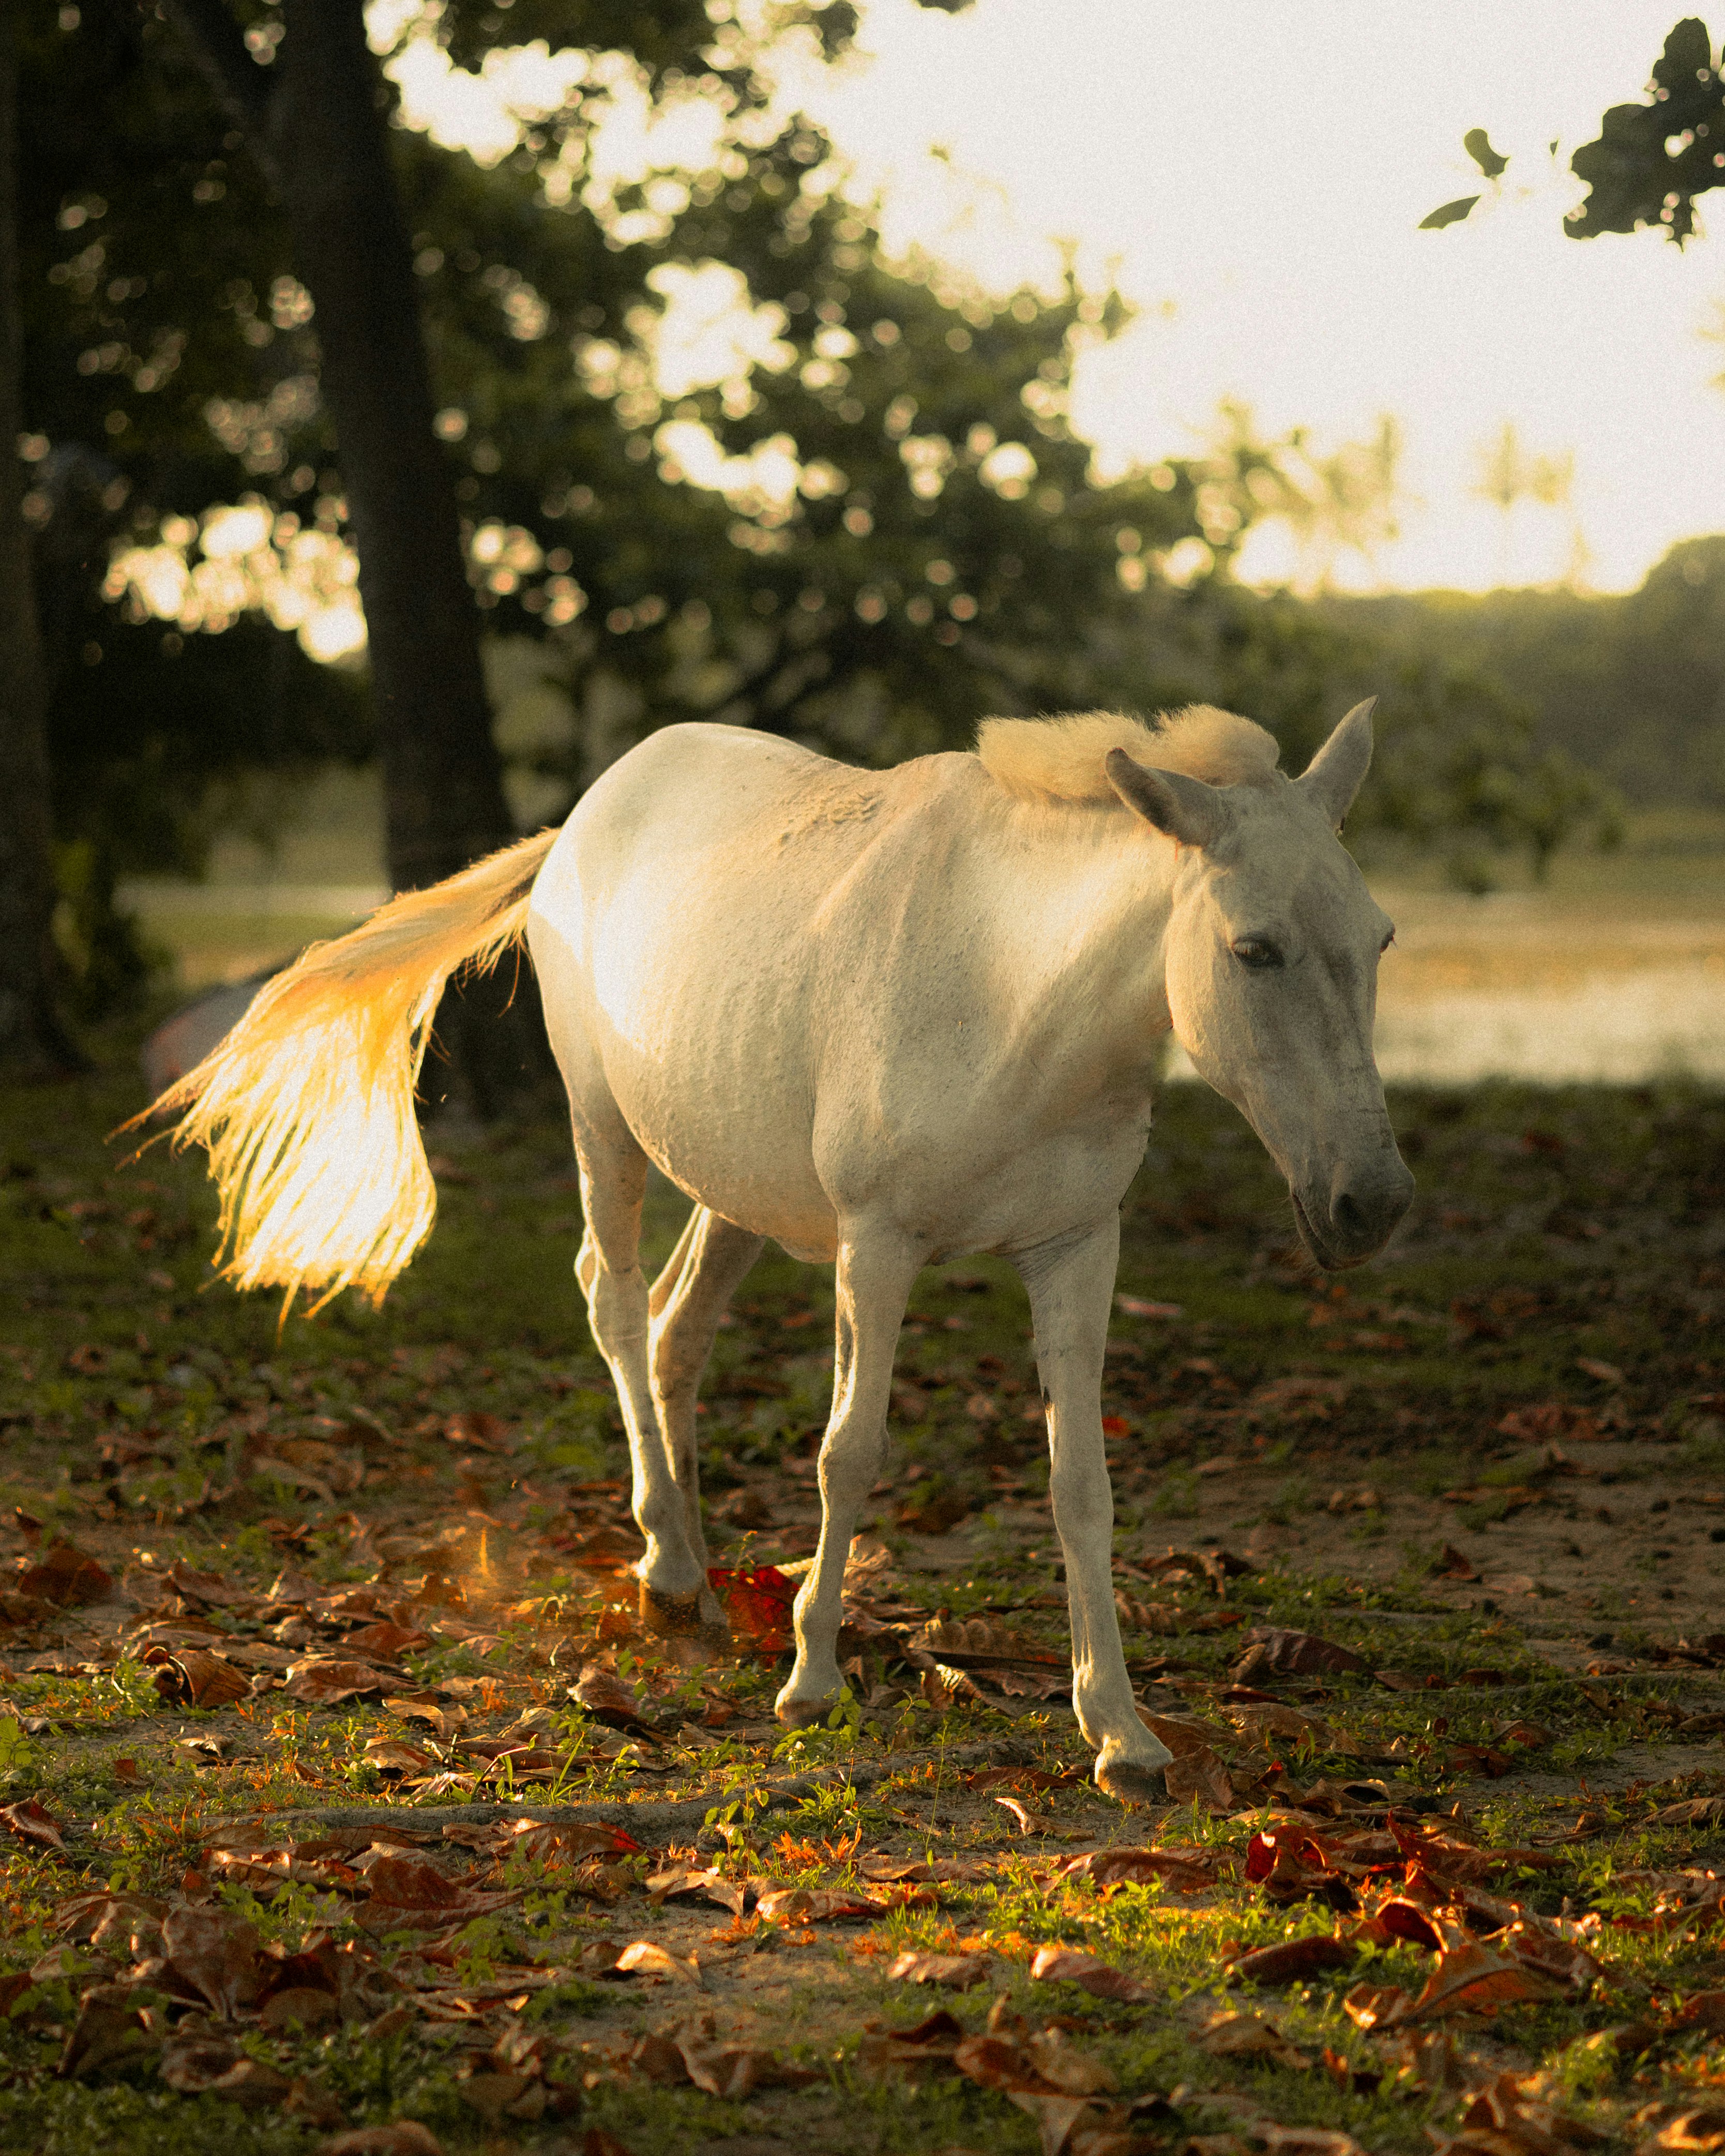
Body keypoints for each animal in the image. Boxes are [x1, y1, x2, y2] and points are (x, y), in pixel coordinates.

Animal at [155, 699, 1412, 1803]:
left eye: (1382, 939)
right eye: (1254, 950)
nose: (1373, 1206)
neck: (1011, 987)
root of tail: (584, 821)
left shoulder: (1075, 1249)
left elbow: (1080, 1484)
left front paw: (1122, 1733)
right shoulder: (878, 1248)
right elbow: (848, 1453)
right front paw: (813, 1682)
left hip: (737, 1194)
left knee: (677, 1330)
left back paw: (690, 1567)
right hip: (604, 1133)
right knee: (615, 1304)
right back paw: (668, 1571)